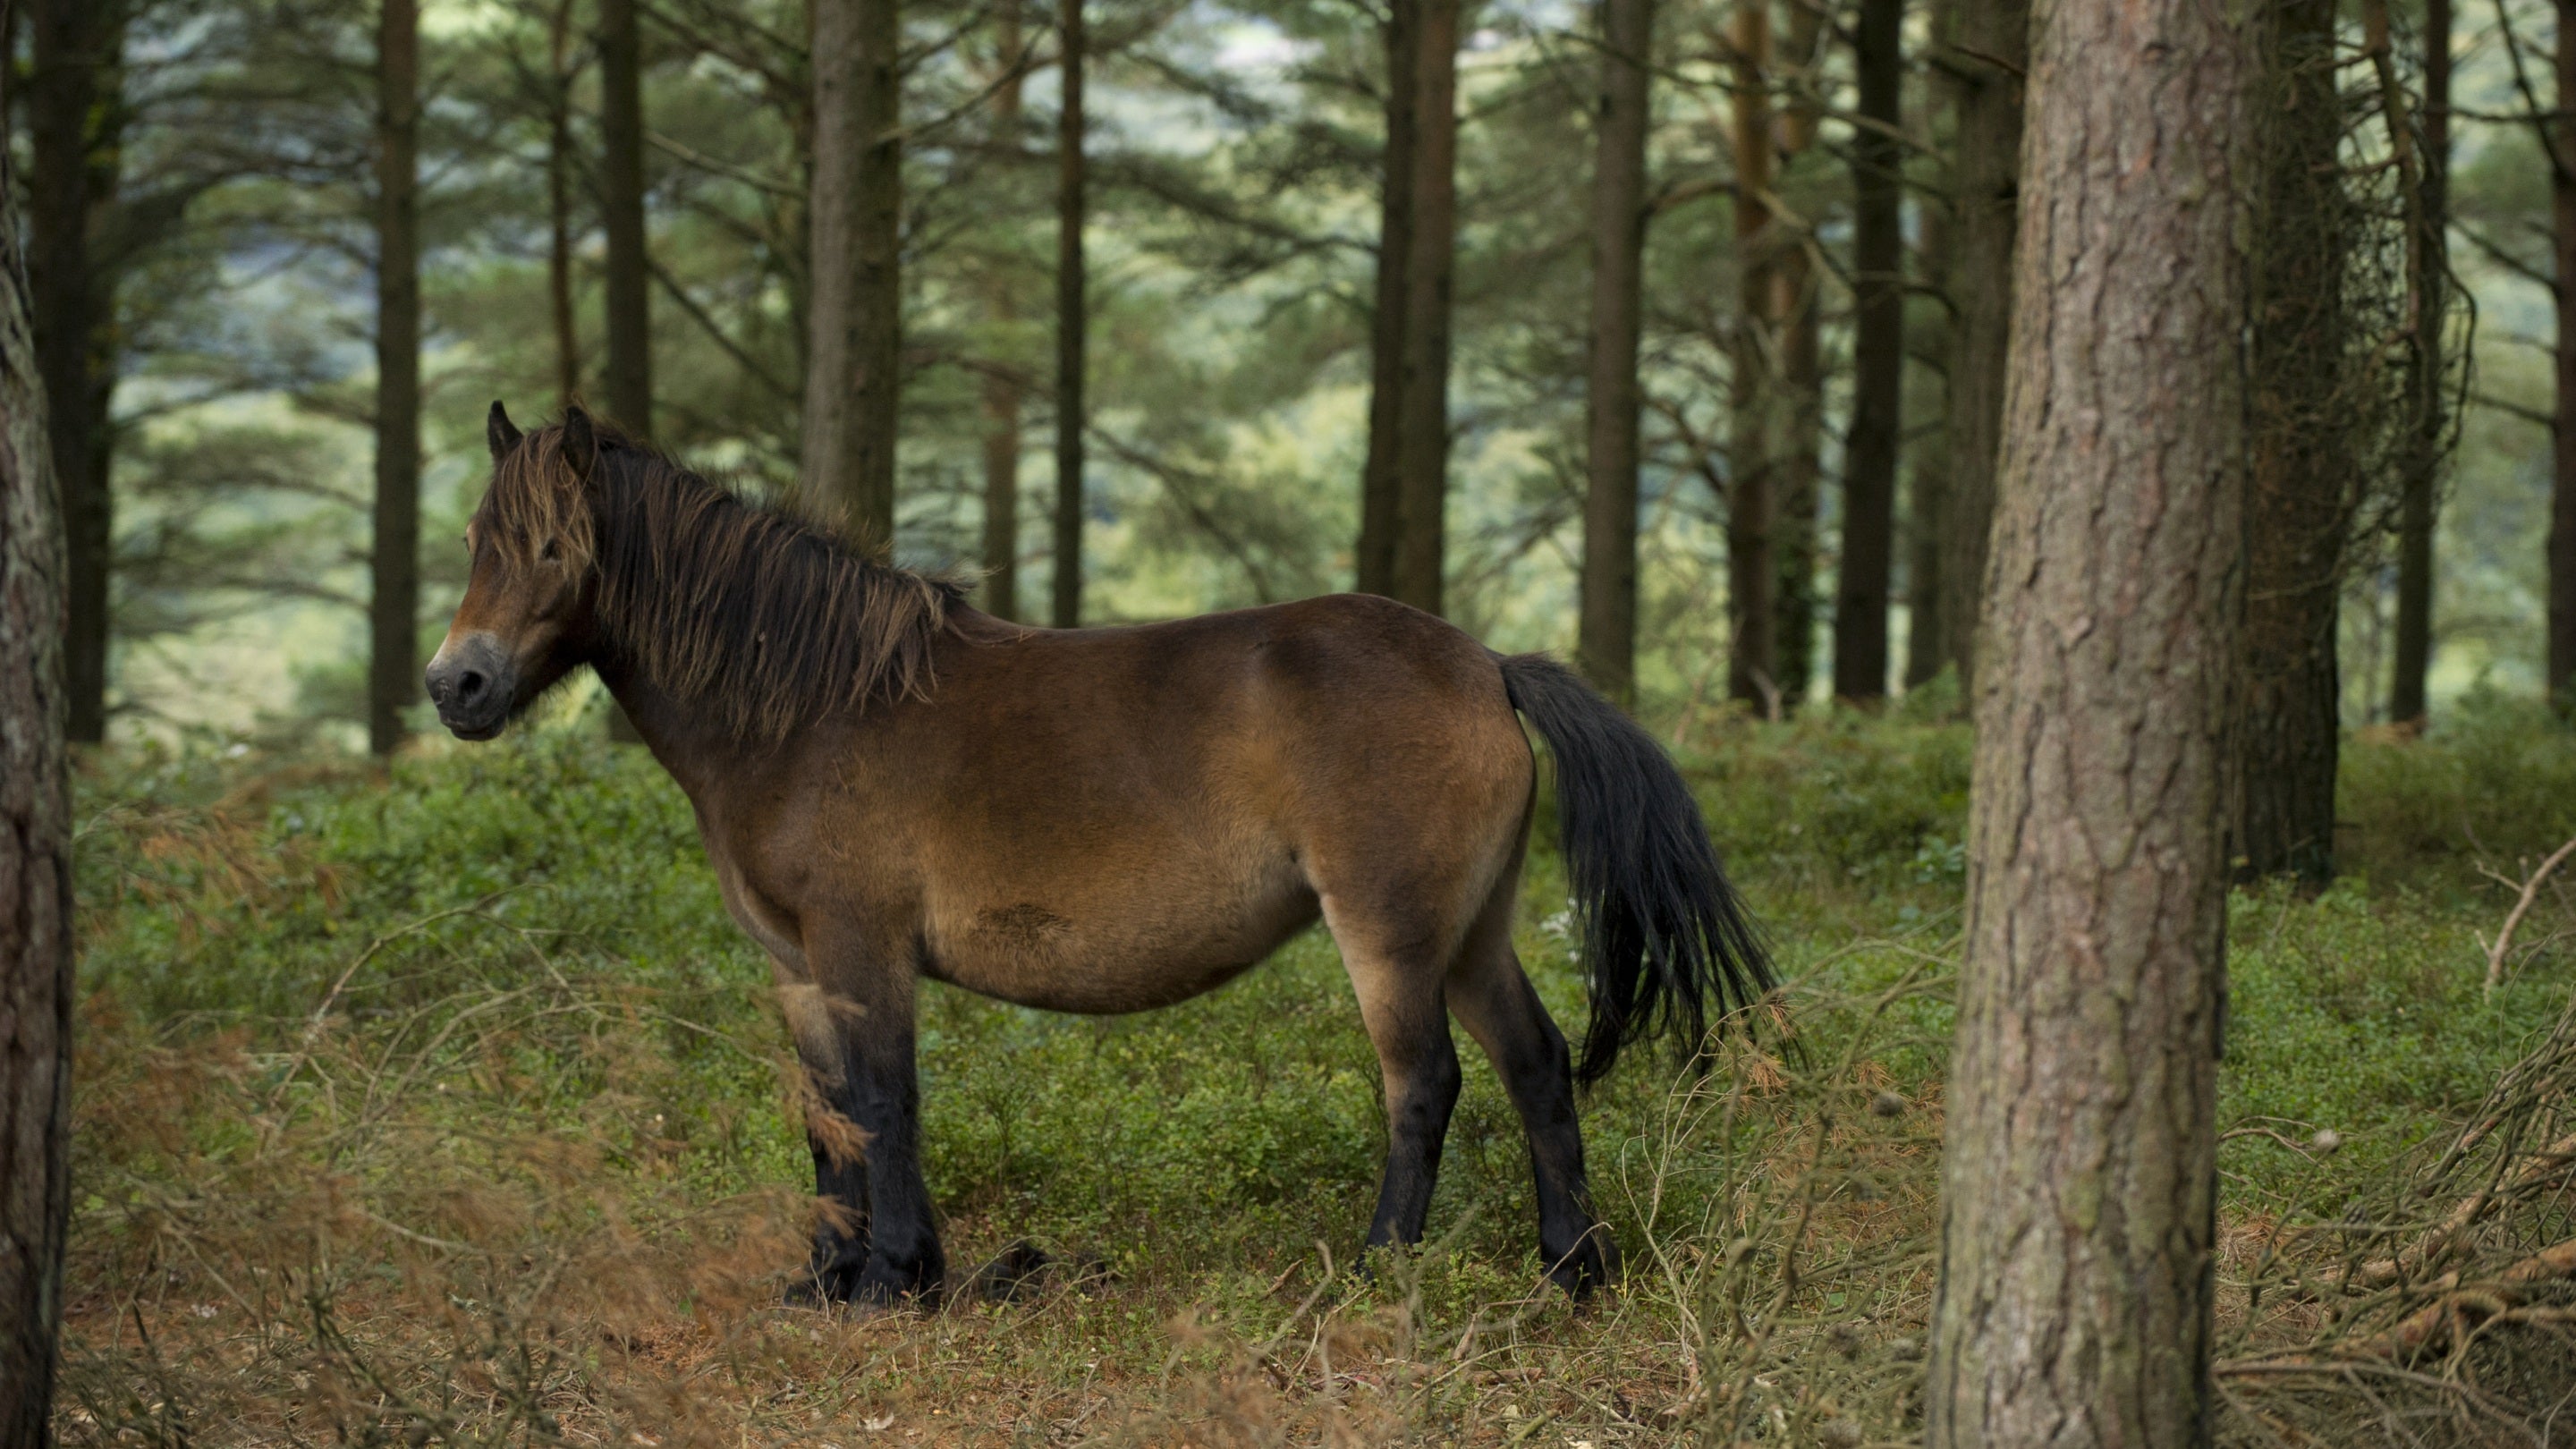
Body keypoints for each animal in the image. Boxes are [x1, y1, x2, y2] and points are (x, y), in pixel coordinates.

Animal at [426, 402, 1774, 1305]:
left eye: (554, 547)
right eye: (478, 537)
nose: (458, 686)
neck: (808, 707)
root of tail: (1487, 664)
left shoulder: (864, 950)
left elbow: (886, 1100)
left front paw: (898, 1278)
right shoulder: (798, 967)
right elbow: (829, 1118)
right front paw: (828, 1278)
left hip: (1389, 933)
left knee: (1425, 1083)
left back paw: (1376, 1269)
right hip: (1471, 928)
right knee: (1537, 1066)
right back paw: (1572, 1270)